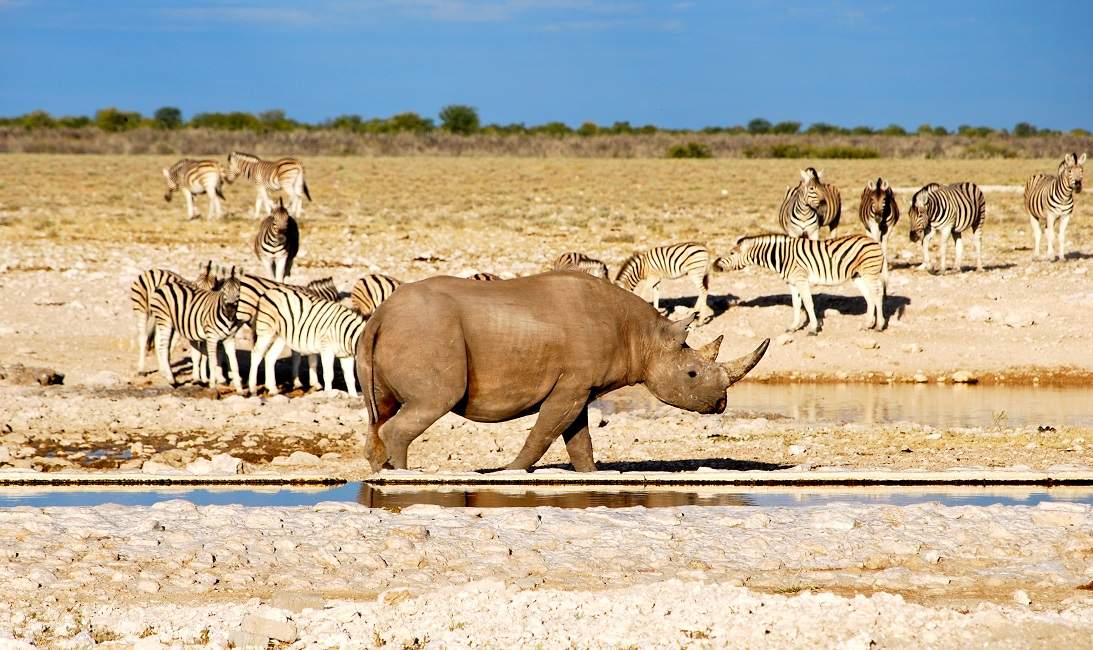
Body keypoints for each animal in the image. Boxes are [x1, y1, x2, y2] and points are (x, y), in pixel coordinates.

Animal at [355, 272, 769, 472]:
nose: (721, 404)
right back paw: (404, 476)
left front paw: (592, 477)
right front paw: (510, 472)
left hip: (394, 335)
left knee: (381, 414)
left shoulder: (580, 386)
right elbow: (545, 433)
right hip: (428, 333)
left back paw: (381, 472)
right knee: (430, 402)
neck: (645, 335)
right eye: (692, 374)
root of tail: (380, 315)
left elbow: (578, 440)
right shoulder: (573, 384)